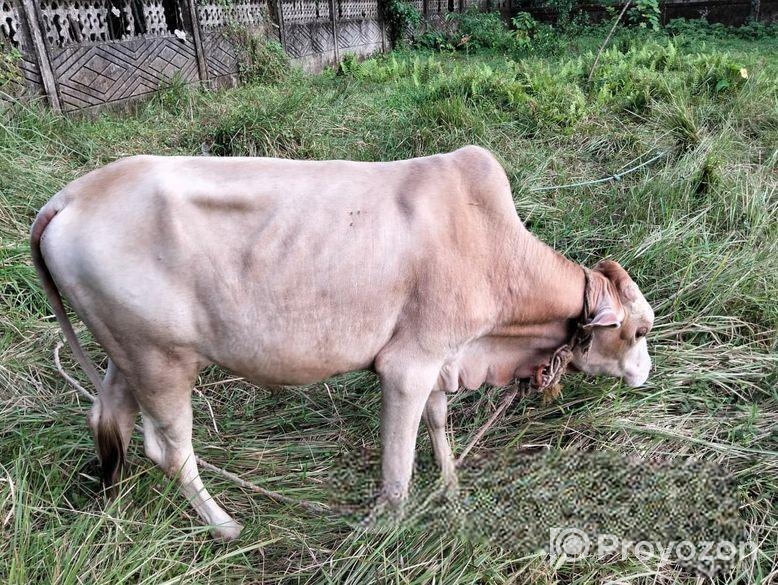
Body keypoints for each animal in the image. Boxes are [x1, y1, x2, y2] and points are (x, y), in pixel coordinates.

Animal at [30, 146, 654, 540]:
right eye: (639, 329)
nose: (645, 372)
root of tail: (70, 195)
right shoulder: (408, 366)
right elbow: (398, 469)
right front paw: (388, 528)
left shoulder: (438, 359)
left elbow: (438, 424)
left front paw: (452, 492)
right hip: (162, 362)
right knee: (170, 449)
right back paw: (225, 525)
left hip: (128, 356)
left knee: (107, 417)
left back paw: (113, 495)